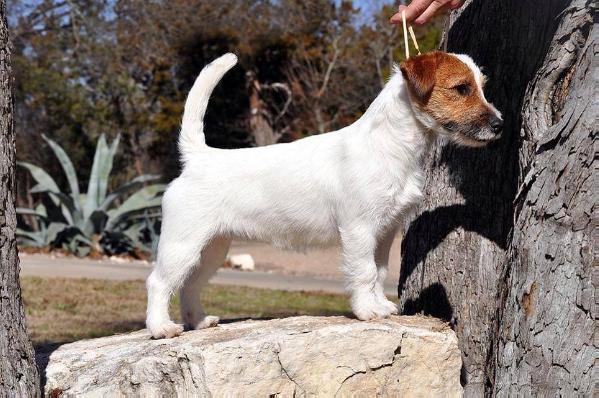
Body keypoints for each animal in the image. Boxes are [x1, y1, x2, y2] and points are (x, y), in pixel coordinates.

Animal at [145, 49, 502, 338]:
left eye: (481, 86)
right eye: (461, 88)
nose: (500, 125)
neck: (389, 145)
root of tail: (199, 157)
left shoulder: (384, 232)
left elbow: (379, 272)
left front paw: (380, 306)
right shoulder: (359, 230)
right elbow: (363, 271)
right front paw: (366, 311)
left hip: (212, 248)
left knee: (191, 284)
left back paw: (198, 321)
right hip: (183, 243)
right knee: (159, 282)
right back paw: (161, 328)